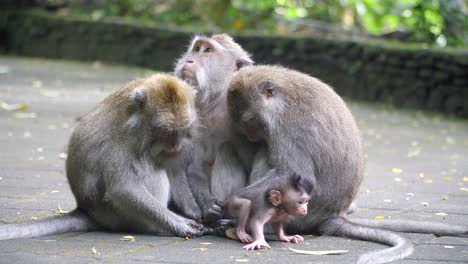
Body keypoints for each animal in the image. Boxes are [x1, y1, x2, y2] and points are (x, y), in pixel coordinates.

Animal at [0, 73, 208, 240]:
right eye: (166, 131)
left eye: (181, 130)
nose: (175, 146)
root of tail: (87, 210)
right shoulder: (123, 141)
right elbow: (123, 188)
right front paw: (178, 223)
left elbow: (174, 169)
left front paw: (195, 211)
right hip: (119, 216)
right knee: (152, 172)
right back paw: (157, 228)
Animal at [175, 32, 258, 223]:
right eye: (197, 49)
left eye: (208, 51)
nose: (189, 59)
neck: (214, 102)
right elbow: (195, 167)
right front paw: (207, 204)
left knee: (226, 148)